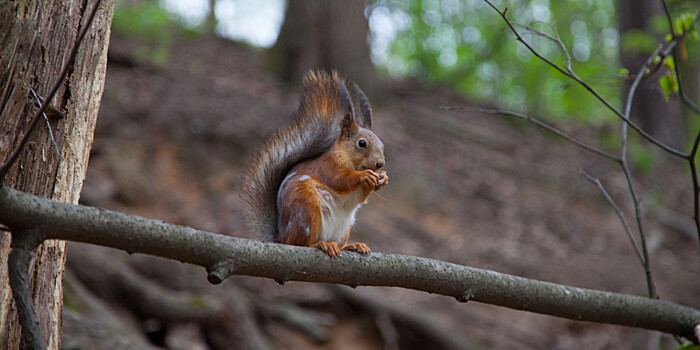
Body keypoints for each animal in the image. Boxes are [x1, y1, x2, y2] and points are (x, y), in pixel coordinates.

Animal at [242, 70, 388, 258]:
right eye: (361, 143)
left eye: (382, 145)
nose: (380, 163)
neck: (351, 162)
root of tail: (281, 238)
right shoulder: (327, 166)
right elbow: (339, 180)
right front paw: (363, 175)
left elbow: (359, 197)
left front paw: (383, 178)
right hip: (307, 210)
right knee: (300, 244)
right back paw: (321, 244)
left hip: (342, 229)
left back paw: (352, 246)